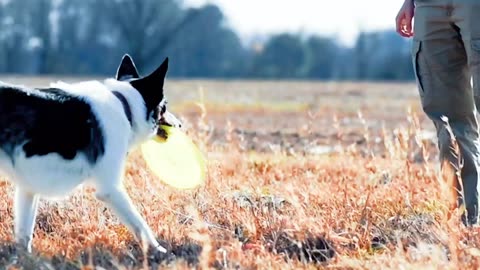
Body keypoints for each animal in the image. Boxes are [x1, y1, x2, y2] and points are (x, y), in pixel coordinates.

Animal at [0, 54, 181, 253]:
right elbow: (141, 226)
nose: (180, 124)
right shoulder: (110, 189)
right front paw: (159, 251)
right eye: (165, 106)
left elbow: (24, 236)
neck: (124, 105)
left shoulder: (28, 189)